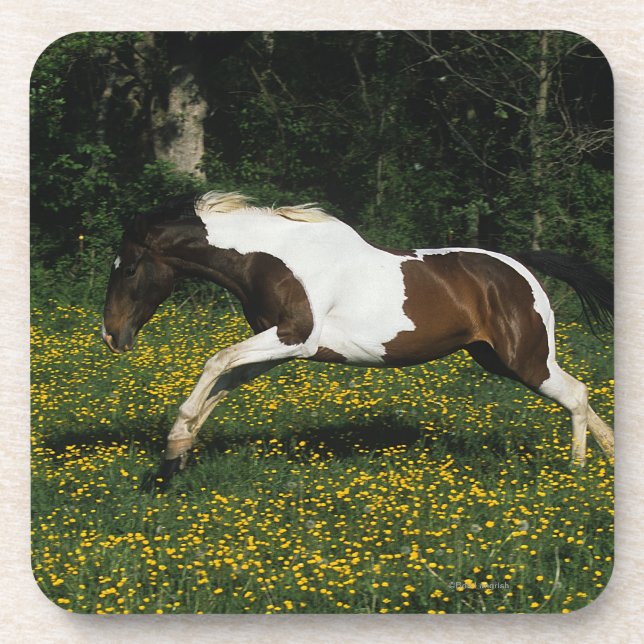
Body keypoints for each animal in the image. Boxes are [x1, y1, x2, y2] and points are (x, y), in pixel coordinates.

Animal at [101, 191, 614, 482]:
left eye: (128, 268)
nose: (111, 336)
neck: (273, 258)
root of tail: (519, 267)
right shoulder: (276, 348)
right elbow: (222, 384)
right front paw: (174, 458)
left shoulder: (294, 338)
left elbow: (214, 362)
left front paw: (174, 449)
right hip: (497, 358)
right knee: (584, 400)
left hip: (525, 360)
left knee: (577, 395)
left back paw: (575, 472)